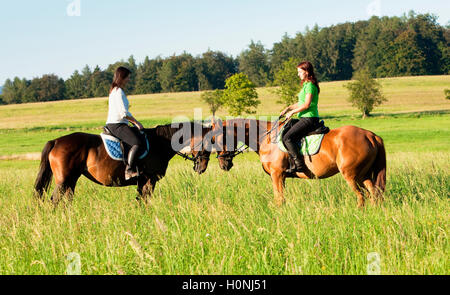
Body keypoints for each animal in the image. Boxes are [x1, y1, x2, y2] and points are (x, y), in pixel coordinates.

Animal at [33, 122, 213, 206]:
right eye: (207, 141)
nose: (202, 167)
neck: (161, 142)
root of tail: (56, 141)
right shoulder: (149, 180)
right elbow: (144, 201)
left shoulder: (143, 182)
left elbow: (140, 201)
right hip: (63, 181)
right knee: (55, 200)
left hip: (71, 180)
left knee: (66, 200)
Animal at [213, 118, 384, 208]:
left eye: (217, 139)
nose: (223, 165)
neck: (266, 138)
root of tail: (370, 135)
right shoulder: (281, 177)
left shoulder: (277, 174)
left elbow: (279, 198)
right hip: (363, 175)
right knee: (373, 193)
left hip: (351, 175)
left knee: (361, 196)